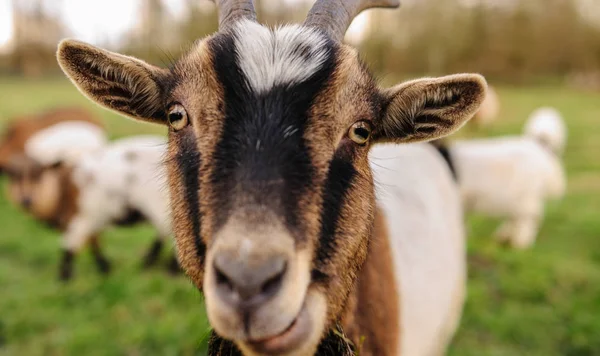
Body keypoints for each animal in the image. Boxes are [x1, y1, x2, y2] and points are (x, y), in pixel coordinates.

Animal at [438, 107, 564, 249]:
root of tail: (539, 146)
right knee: (517, 218)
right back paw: (504, 237)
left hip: (527, 195)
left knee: (527, 219)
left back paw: (519, 244)